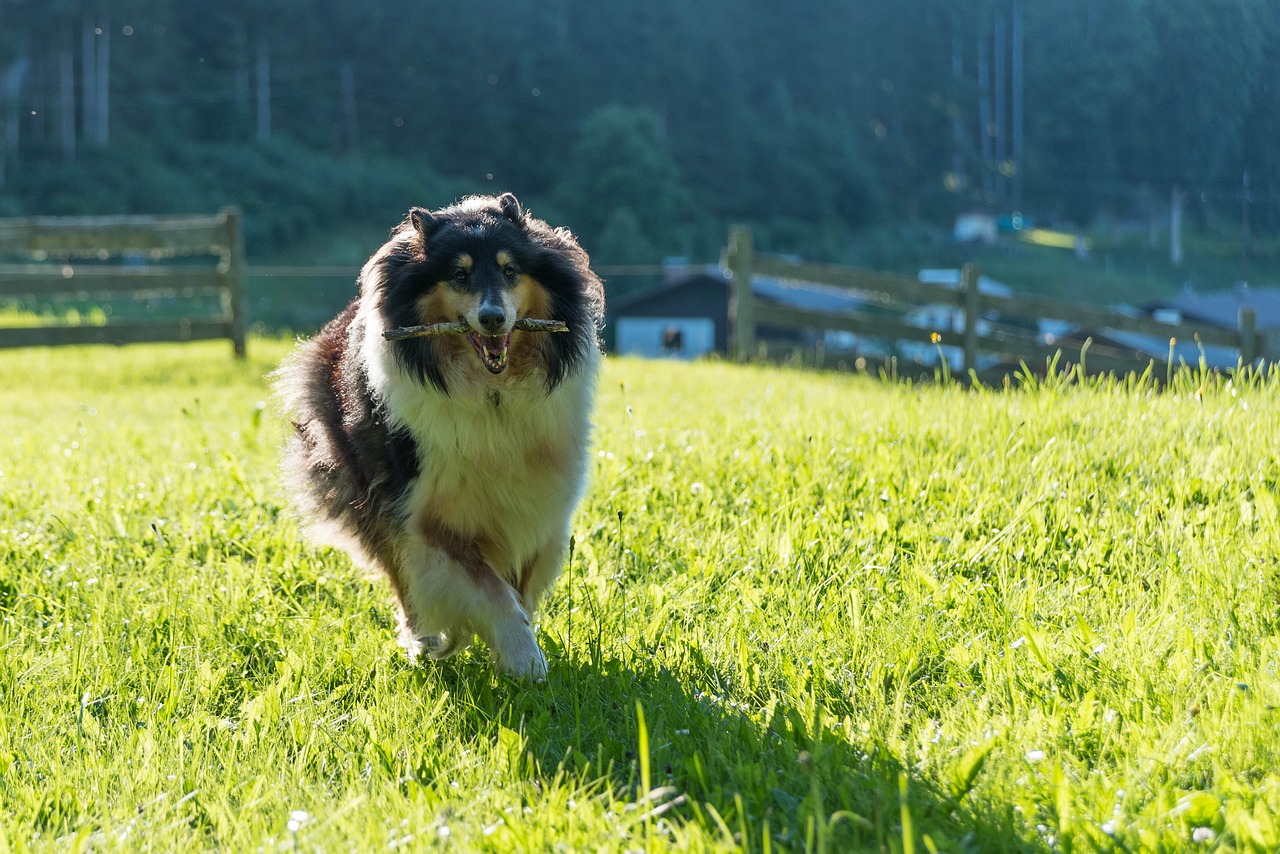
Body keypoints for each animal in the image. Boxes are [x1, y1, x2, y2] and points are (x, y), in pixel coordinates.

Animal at [272, 195, 601, 681]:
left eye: (509, 270)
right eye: (459, 275)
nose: (492, 319)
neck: (491, 397)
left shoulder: (538, 510)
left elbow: (519, 589)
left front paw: (519, 651)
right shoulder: (426, 516)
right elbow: (488, 591)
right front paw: (523, 658)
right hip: (369, 493)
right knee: (400, 575)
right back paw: (421, 642)